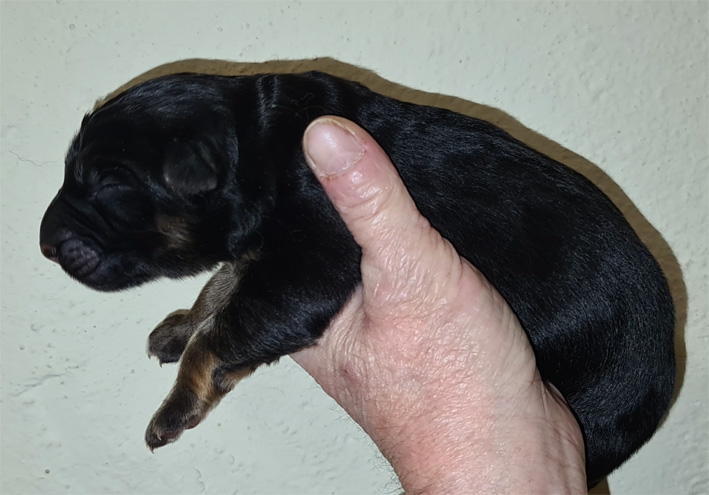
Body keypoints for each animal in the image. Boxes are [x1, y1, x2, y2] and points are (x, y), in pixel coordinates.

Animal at [39, 71, 675, 487]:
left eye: (108, 184)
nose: (43, 245)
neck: (260, 143)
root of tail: (671, 366)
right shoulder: (262, 251)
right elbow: (218, 292)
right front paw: (180, 326)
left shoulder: (312, 257)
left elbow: (221, 336)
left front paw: (175, 407)